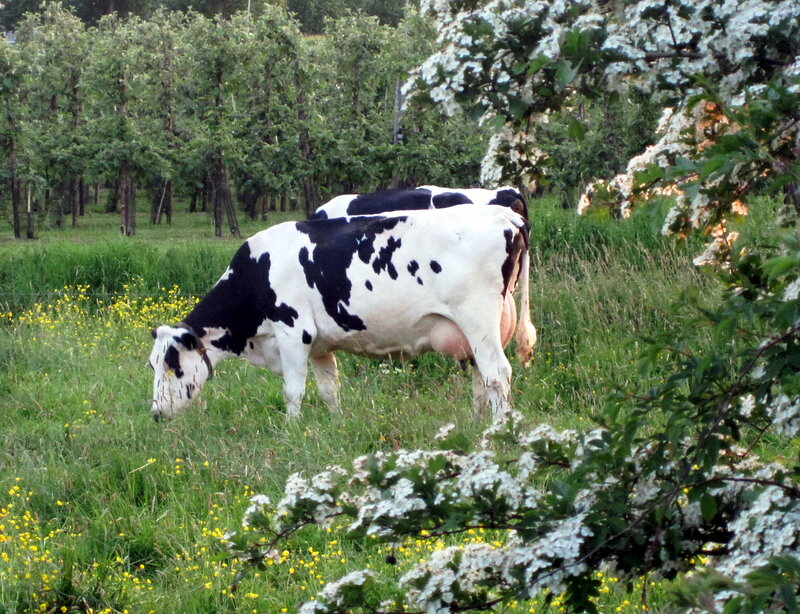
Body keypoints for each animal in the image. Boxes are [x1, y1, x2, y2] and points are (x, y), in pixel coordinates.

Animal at [148, 204, 537, 421]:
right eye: (152, 365)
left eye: (172, 366)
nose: (155, 414)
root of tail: (506, 214)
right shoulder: (320, 345)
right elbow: (328, 390)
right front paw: (335, 425)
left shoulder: (294, 333)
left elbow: (293, 391)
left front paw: (291, 431)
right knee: (481, 378)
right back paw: (476, 423)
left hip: (478, 319)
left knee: (497, 374)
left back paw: (497, 429)